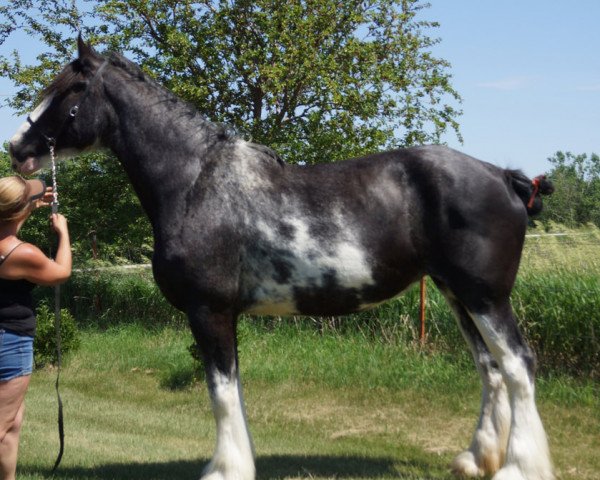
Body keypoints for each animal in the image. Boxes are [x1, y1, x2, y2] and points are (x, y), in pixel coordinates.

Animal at [9, 38, 556, 480]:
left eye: (71, 90)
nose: (16, 147)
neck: (194, 182)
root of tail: (502, 175)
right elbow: (230, 391)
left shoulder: (209, 311)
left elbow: (221, 392)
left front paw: (226, 469)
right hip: (456, 293)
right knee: (490, 368)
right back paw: (476, 460)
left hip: (485, 296)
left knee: (517, 364)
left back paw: (518, 467)